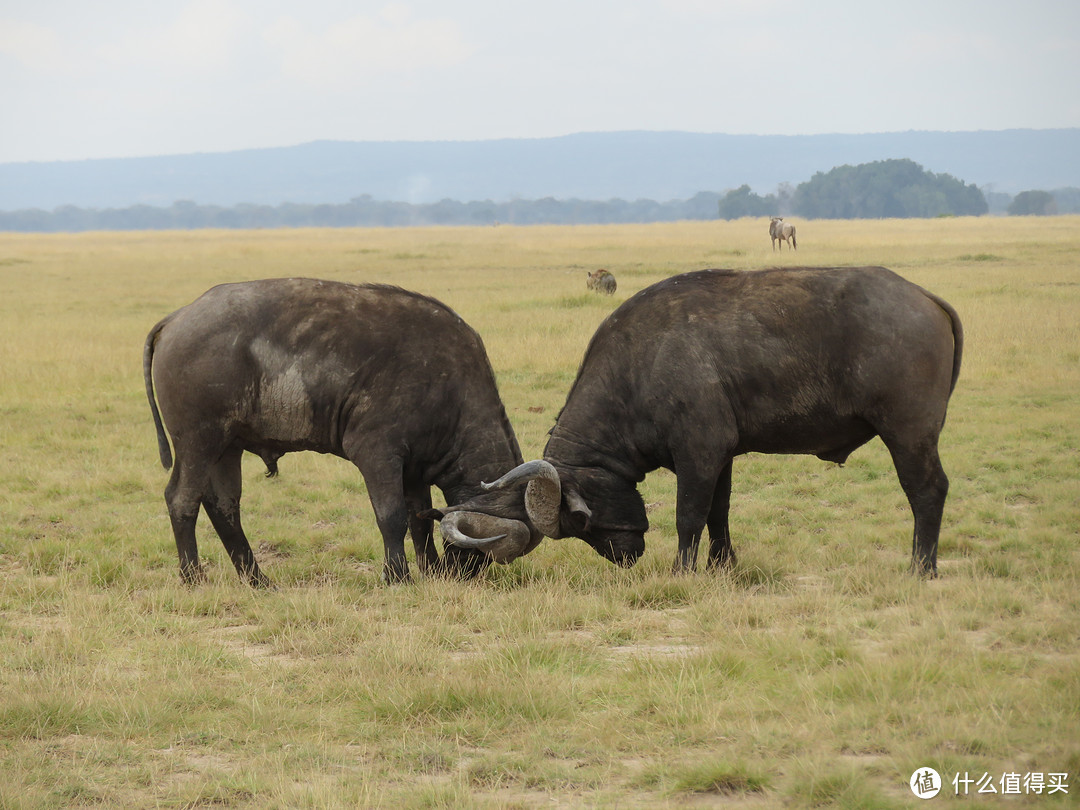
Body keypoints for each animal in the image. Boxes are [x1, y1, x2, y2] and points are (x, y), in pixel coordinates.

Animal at [145, 278, 540, 583]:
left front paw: (428, 570)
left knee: (223, 507)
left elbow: (420, 520)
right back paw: (193, 577)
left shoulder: (414, 468)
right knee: (181, 500)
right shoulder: (377, 453)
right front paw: (398, 576)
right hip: (198, 442)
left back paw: (257, 579)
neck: (448, 388)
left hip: (228, 447)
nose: (461, 573)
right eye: (484, 550)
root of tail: (177, 317)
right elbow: (392, 516)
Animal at [486, 266, 967, 578]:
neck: (639, 366)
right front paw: (721, 565)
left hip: (909, 435)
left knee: (928, 491)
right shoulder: (721, 456)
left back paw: (921, 568)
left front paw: (682, 570)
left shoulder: (698, 454)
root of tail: (924, 297)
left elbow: (688, 515)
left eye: (579, 523)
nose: (623, 557)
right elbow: (719, 512)